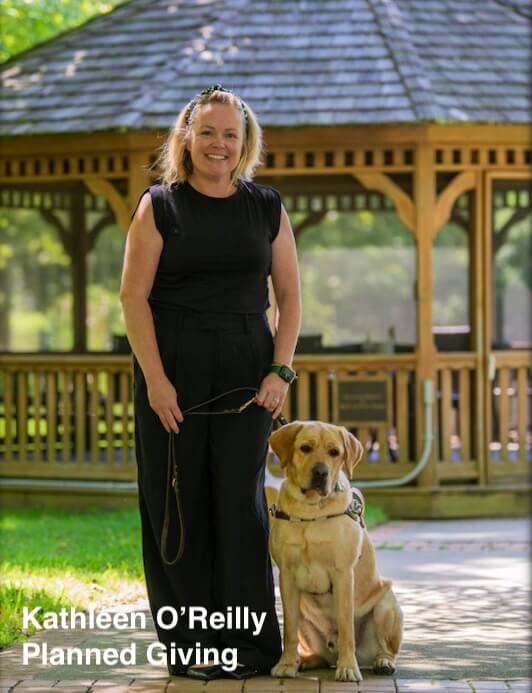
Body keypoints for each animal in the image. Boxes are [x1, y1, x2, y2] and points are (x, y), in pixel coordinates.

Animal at [270, 418, 404, 680]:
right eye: (305, 448)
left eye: (334, 452)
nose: (320, 472)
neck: (311, 511)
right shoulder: (287, 576)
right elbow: (288, 630)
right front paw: (287, 664)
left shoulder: (342, 573)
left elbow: (345, 626)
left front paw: (348, 668)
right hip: (303, 613)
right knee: (319, 653)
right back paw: (306, 660)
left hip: (387, 605)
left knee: (387, 648)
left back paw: (382, 662)